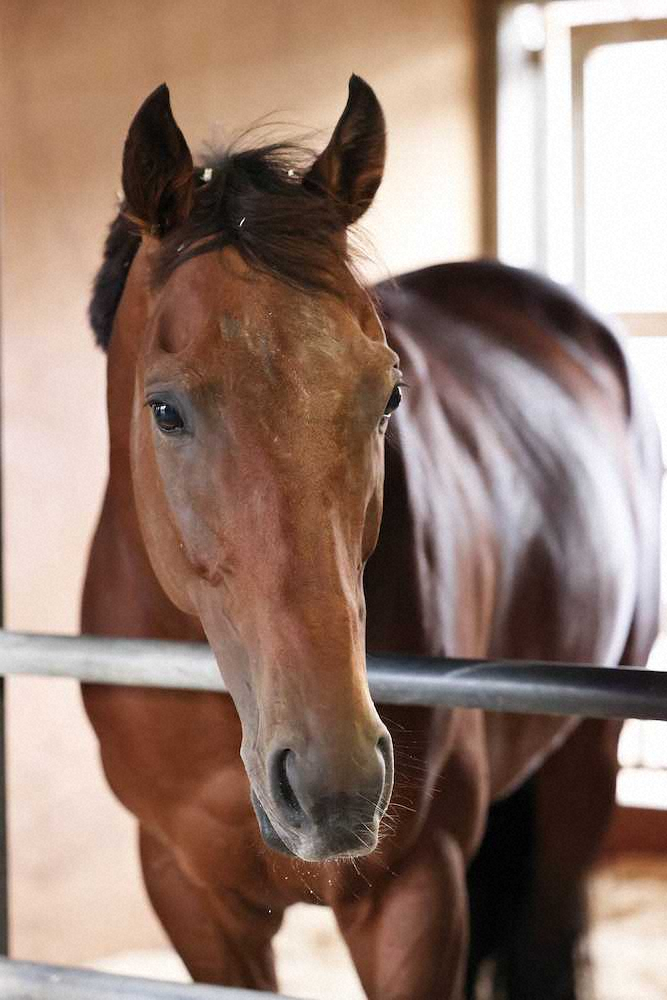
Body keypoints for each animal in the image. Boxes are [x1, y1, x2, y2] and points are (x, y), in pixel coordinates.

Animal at [81, 80, 660, 1000]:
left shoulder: (414, 894)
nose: (334, 784)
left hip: (581, 768)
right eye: (165, 409)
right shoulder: (186, 892)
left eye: (388, 394)